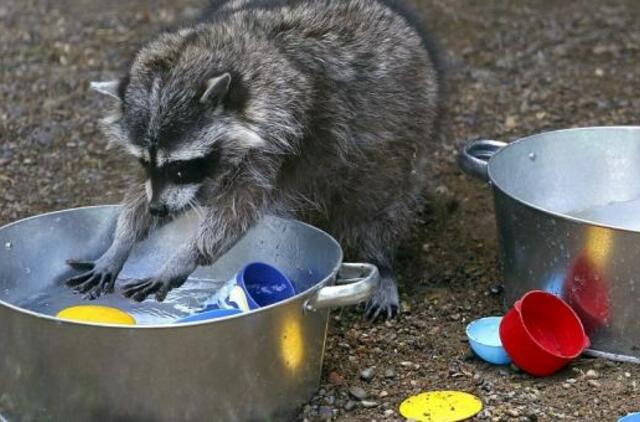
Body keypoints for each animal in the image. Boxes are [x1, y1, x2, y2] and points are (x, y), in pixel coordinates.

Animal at [65, 0, 444, 320]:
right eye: (145, 162)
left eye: (179, 166)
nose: (158, 209)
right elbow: (175, 196)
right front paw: (121, 243)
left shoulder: (284, 131)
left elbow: (239, 206)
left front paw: (186, 256)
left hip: (400, 129)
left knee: (378, 202)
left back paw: (380, 260)